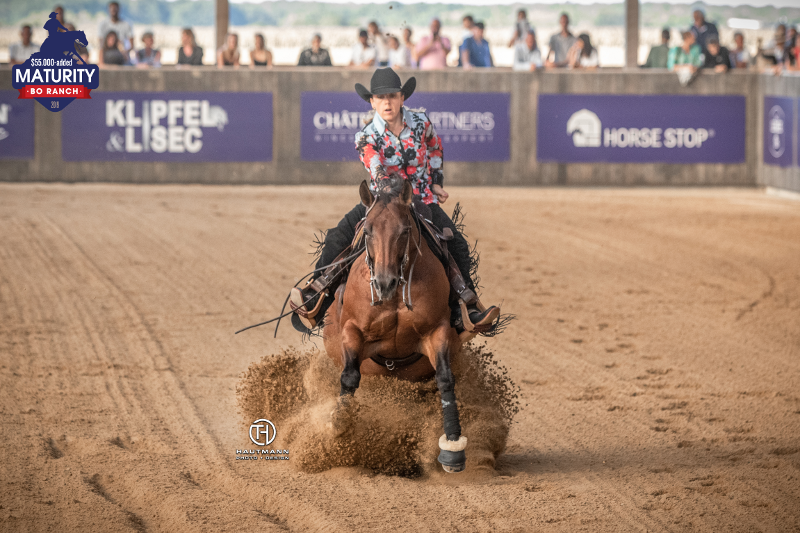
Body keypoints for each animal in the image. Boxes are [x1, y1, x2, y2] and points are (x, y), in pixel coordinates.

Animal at [322, 179, 472, 474]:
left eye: (404, 231)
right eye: (368, 231)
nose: (384, 282)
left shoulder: (437, 331)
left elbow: (445, 379)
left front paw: (453, 447)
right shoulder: (352, 331)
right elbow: (349, 377)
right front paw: (339, 429)